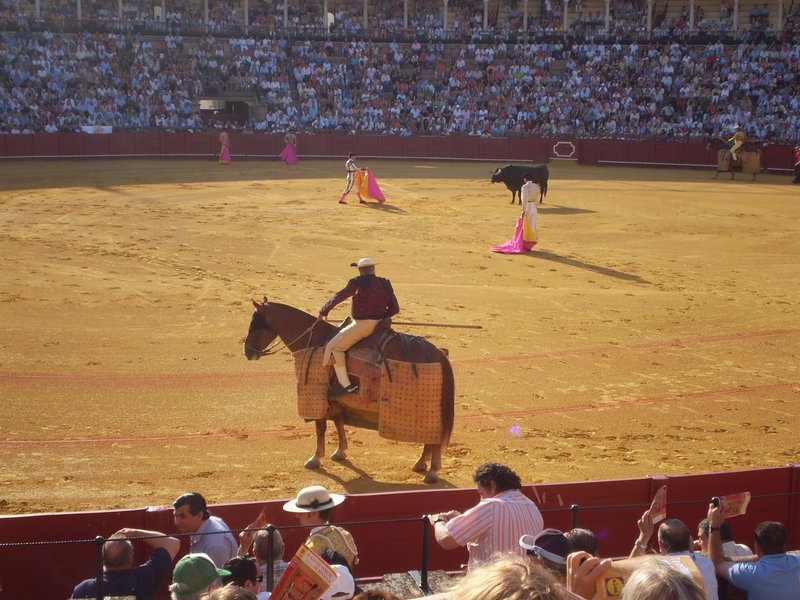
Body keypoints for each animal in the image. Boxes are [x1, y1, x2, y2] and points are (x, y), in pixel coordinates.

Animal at [242, 298, 456, 486]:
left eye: (256, 325)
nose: (248, 352)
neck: (316, 340)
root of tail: (437, 352)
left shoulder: (318, 398)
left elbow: (321, 428)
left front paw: (315, 458)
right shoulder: (337, 401)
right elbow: (338, 423)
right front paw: (340, 451)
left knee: (434, 438)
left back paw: (432, 471)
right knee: (430, 439)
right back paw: (420, 464)